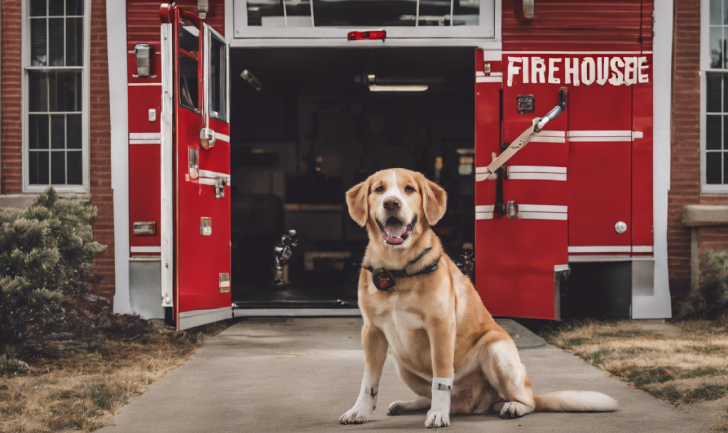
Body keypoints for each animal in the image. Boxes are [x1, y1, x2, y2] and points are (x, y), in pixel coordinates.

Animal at [338, 167, 616, 426]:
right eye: (379, 189)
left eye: (408, 189)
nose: (391, 203)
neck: (397, 269)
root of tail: (470, 405)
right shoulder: (372, 332)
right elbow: (369, 380)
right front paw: (360, 410)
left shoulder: (440, 327)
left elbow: (441, 378)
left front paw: (438, 414)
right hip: (401, 362)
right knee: (433, 396)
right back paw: (411, 404)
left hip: (494, 349)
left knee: (528, 401)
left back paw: (511, 406)